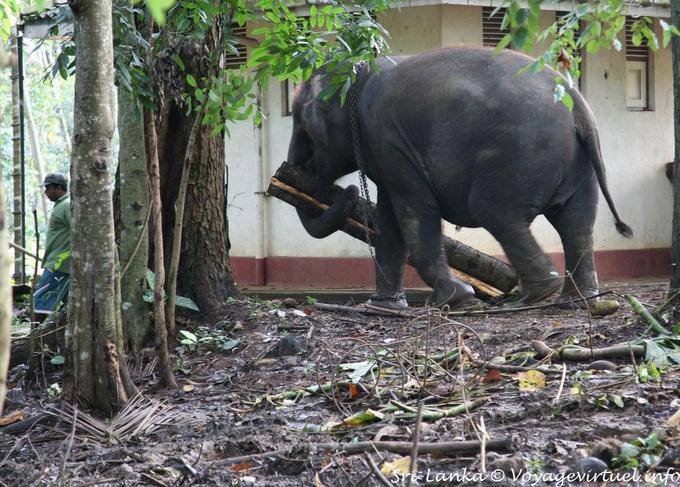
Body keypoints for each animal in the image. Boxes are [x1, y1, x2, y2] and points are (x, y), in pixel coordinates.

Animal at [286, 47, 632, 309]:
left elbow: (414, 215)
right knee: (577, 223)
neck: (359, 73)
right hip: (577, 163)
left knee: (495, 212)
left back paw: (535, 297)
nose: (348, 191)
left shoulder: (389, 141)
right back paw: (576, 300)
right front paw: (384, 307)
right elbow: (389, 222)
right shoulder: (387, 152)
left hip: (521, 152)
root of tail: (578, 107)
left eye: (301, 123)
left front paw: (458, 298)